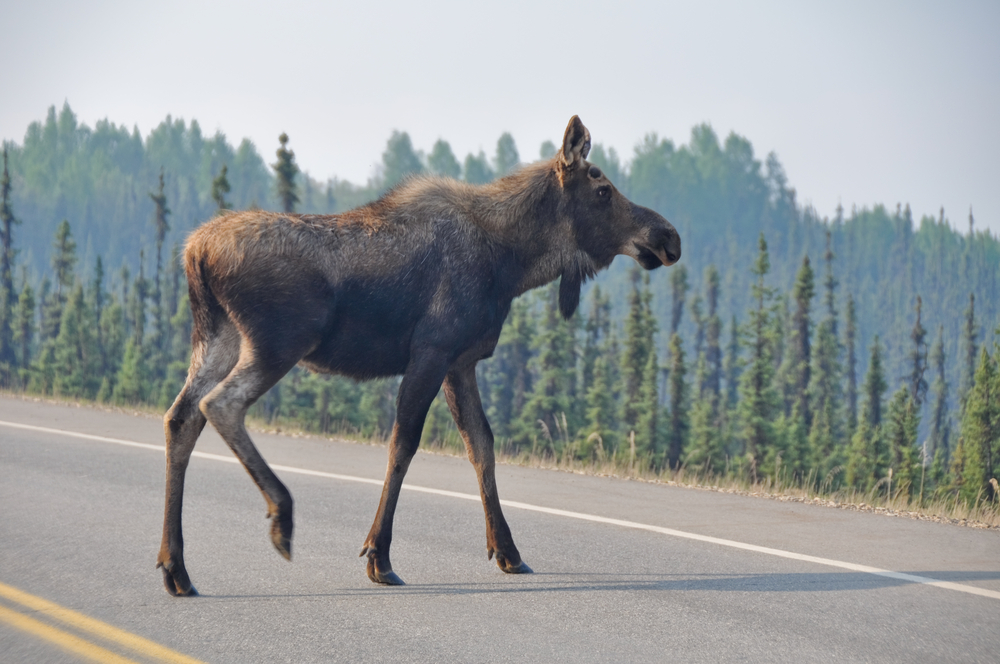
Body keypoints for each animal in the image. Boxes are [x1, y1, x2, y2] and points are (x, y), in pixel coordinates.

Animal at [156, 116, 680, 592]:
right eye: (603, 188)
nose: (668, 237)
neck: (513, 262)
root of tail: (195, 252)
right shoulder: (432, 351)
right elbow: (403, 445)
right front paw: (379, 556)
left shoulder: (461, 361)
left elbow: (482, 446)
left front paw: (507, 551)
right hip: (277, 341)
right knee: (220, 405)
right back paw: (280, 516)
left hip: (218, 338)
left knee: (181, 417)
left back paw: (175, 567)